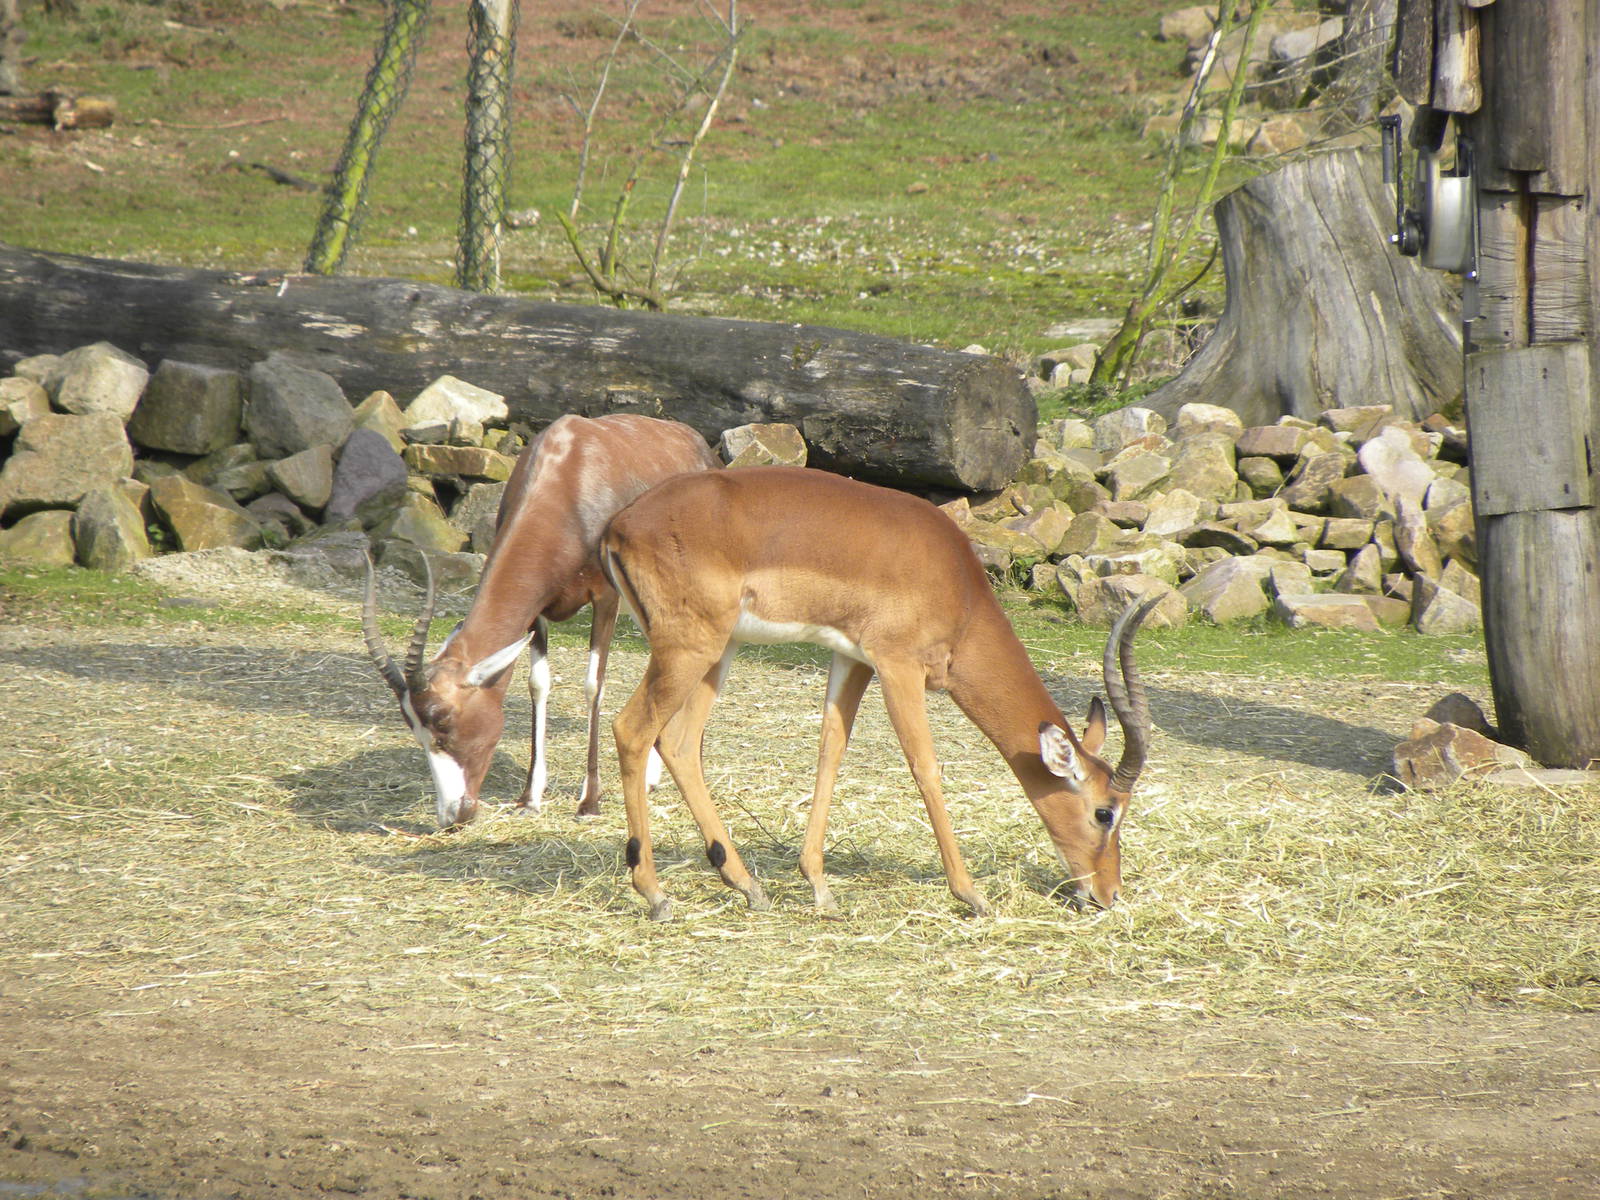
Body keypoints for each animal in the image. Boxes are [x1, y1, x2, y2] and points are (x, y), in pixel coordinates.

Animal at [362, 413, 720, 828]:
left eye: (445, 723)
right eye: (414, 728)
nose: (452, 815)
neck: (568, 479)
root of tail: (696, 443)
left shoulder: (605, 598)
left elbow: (593, 686)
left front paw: (589, 801)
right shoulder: (538, 611)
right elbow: (538, 684)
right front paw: (530, 797)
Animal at [599, 465, 1157, 920]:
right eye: (1105, 811)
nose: (1107, 895)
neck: (960, 589)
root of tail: (619, 525)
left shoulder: (854, 659)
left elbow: (831, 750)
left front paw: (819, 887)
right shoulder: (898, 666)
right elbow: (925, 766)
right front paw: (971, 895)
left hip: (719, 651)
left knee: (678, 742)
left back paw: (747, 887)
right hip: (691, 649)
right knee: (632, 729)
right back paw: (655, 895)